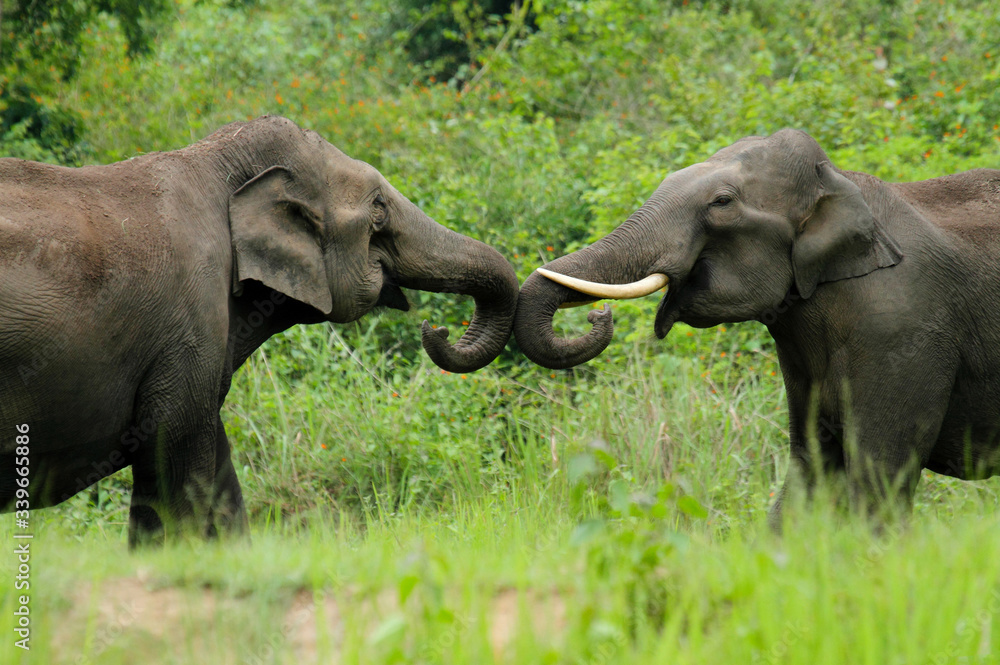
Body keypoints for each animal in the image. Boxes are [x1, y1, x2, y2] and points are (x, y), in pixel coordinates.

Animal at [0, 115, 518, 545]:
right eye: (378, 209)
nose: (437, 329)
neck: (214, 163)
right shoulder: (189, 324)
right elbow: (175, 460)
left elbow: (218, 471)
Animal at [514, 128, 1000, 524]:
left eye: (722, 203)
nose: (599, 315)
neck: (835, 181)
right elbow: (810, 471)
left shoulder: (902, 332)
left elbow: (878, 478)